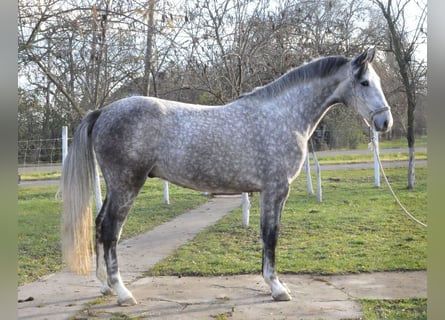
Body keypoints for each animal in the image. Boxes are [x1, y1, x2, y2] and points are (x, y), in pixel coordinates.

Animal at [59, 48, 392, 306]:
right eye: (364, 82)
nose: (385, 122)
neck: (283, 116)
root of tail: (103, 112)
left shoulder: (267, 192)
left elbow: (266, 235)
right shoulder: (275, 190)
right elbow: (270, 235)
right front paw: (277, 288)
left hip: (116, 186)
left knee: (100, 224)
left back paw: (104, 285)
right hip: (126, 184)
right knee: (110, 230)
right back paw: (122, 293)